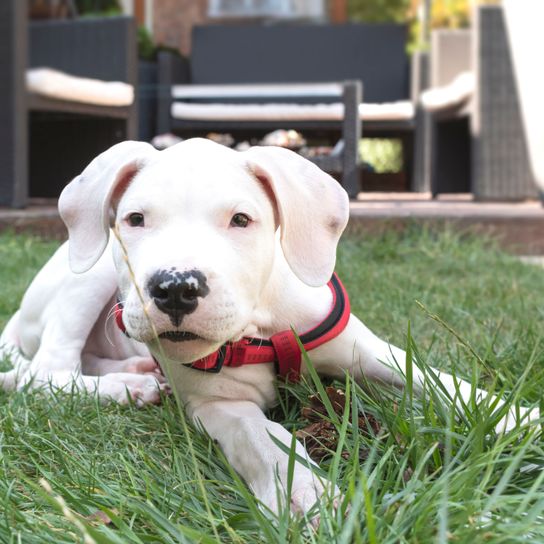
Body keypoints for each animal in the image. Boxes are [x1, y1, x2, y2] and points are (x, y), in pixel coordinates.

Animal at [0, 139, 540, 516]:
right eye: (135, 219)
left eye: (241, 220)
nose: (175, 288)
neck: (260, 324)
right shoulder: (220, 406)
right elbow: (265, 438)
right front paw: (307, 493)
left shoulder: (371, 352)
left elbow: (446, 385)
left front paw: (522, 420)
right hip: (88, 277)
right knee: (45, 372)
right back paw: (126, 388)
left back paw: (134, 372)